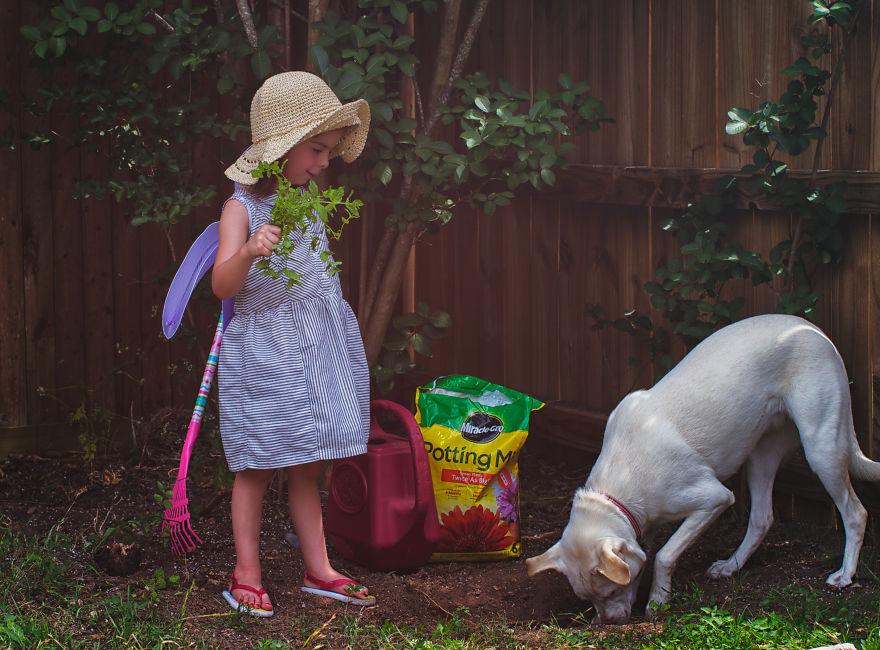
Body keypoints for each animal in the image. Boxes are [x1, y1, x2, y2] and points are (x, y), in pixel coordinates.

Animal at [524, 314, 876, 624]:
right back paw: (731, 566)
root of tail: (817, 332)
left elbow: (665, 554)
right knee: (762, 518)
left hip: (821, 449)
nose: (607, 623)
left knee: (855, 512)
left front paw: (658, 601)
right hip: (760, 456)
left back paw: (845, 575)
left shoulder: (714, 499)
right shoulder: (644, 524)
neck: (621, 482)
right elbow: (649, 551)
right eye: (589, 599)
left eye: (610, 592)